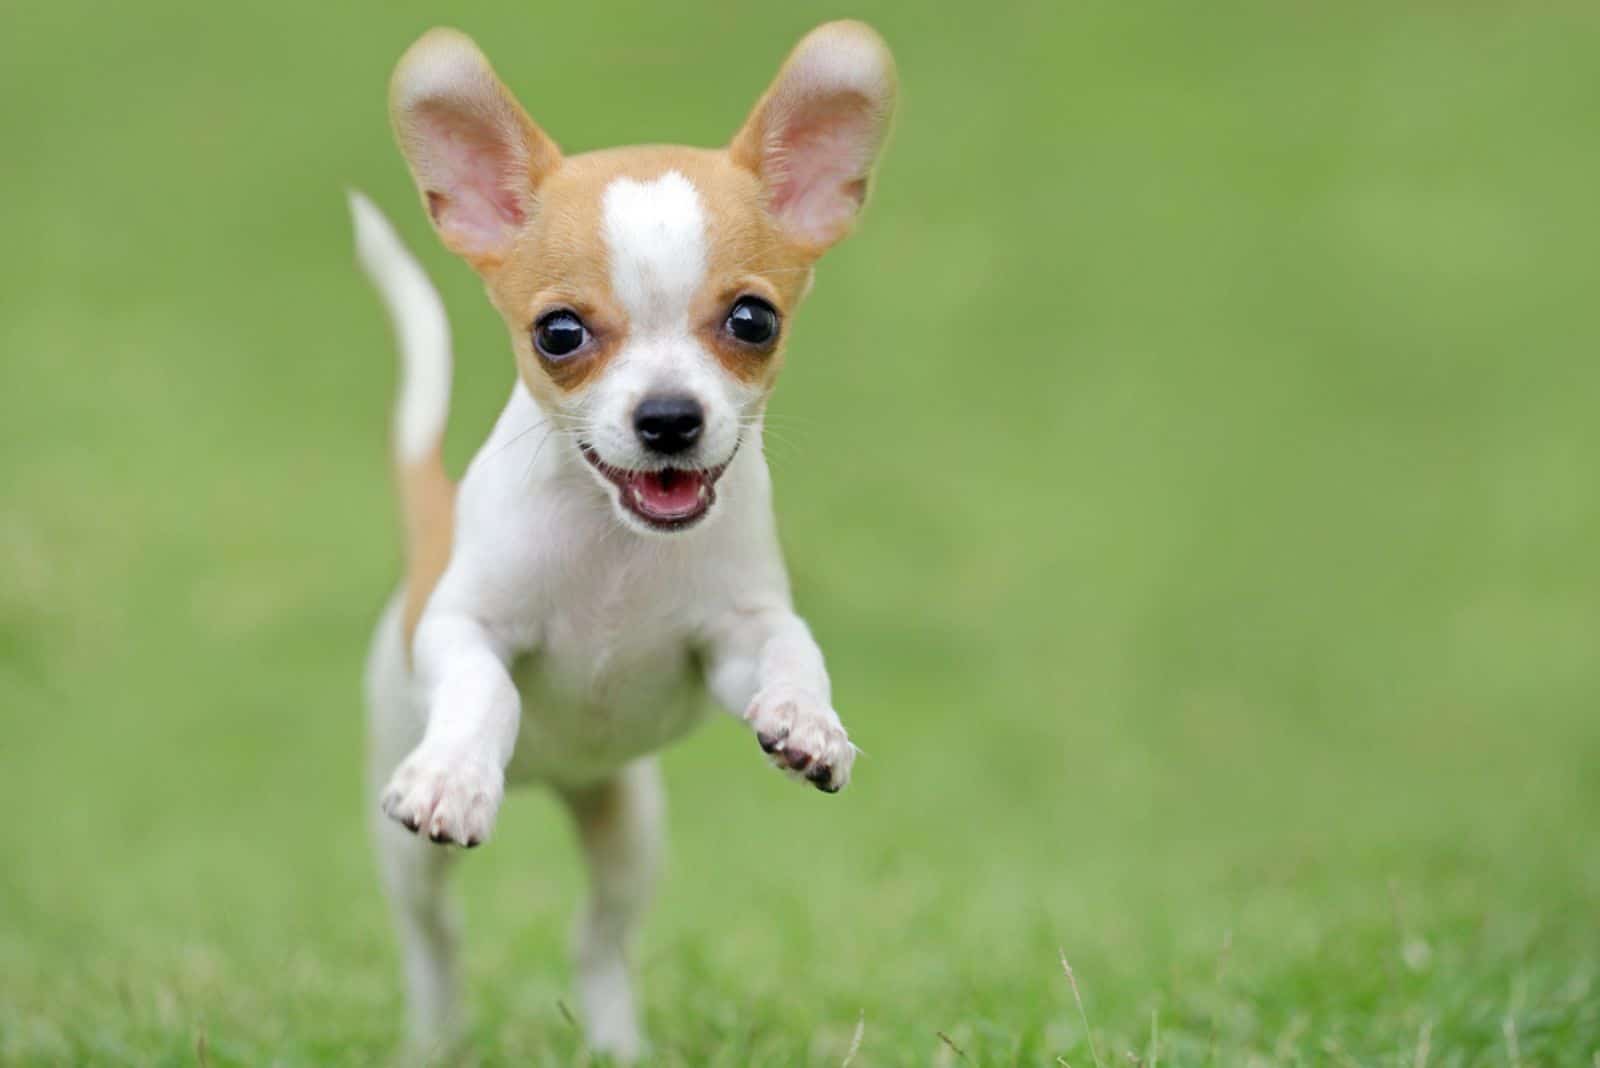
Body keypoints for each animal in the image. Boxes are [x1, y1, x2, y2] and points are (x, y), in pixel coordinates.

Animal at [350, 20, 896, 1061]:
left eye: (753, 321)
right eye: (559, 333)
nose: (670, 418)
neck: (617, 546)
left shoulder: (730, 639)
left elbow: (791, 650)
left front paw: (809, 722)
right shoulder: (462, 630)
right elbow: (484, 689)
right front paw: (456, 778)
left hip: (628, 828)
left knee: (597, 941)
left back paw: (614, 1042)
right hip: (405, 857)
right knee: (435, 942)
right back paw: (435, 1036)